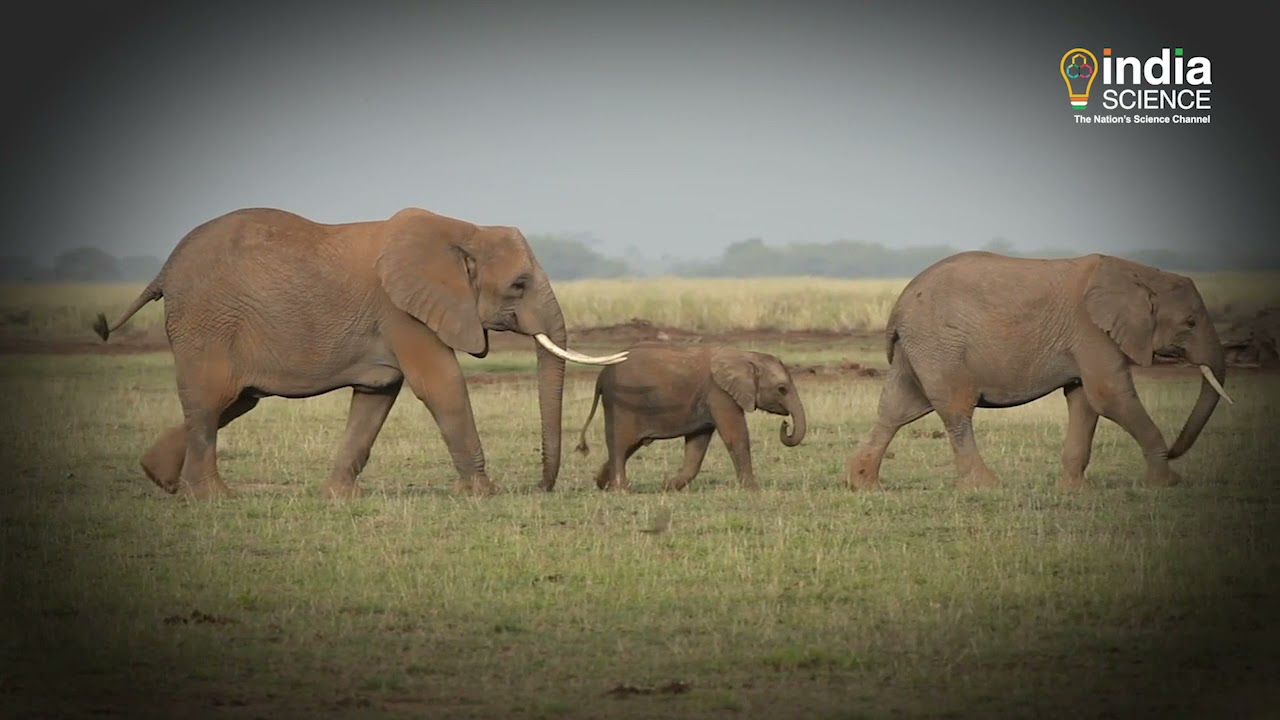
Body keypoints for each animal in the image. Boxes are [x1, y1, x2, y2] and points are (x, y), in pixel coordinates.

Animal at [92, 206, 629, 500]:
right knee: (211, 401)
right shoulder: (402, 311)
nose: (541, 488)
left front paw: (341, 497)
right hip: (205, 322)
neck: (462, 230)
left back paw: (160, 479)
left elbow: (378, 395)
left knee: (235, 401)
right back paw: (213, 498)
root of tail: (164, 270)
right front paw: (483, 494)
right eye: (518, 284)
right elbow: (441, 385)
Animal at [575, 342, 807, 492]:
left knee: (629, 445)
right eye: (782, 389)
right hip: (622, 404)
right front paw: (753, 490)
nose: (786, 423)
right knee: (621, 444)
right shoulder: (720, 394)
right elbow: (735, 435)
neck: (746, 356)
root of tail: (601, 377)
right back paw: (622, 490)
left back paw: (602, 483)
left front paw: (667, 486)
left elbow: (697, 444)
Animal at [845, 251, 1232, 491]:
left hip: (921, 348)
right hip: (940, 345)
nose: (1177, 451)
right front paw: (1167, 483)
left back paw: (863, 484)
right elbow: (1110, 397)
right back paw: (986, 486)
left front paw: (1076, 491)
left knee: (897, 409)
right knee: (955, 409)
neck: (1141, 273)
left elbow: (1084, 400)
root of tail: (900, 303)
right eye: (1190, 322)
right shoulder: (1092, 332)